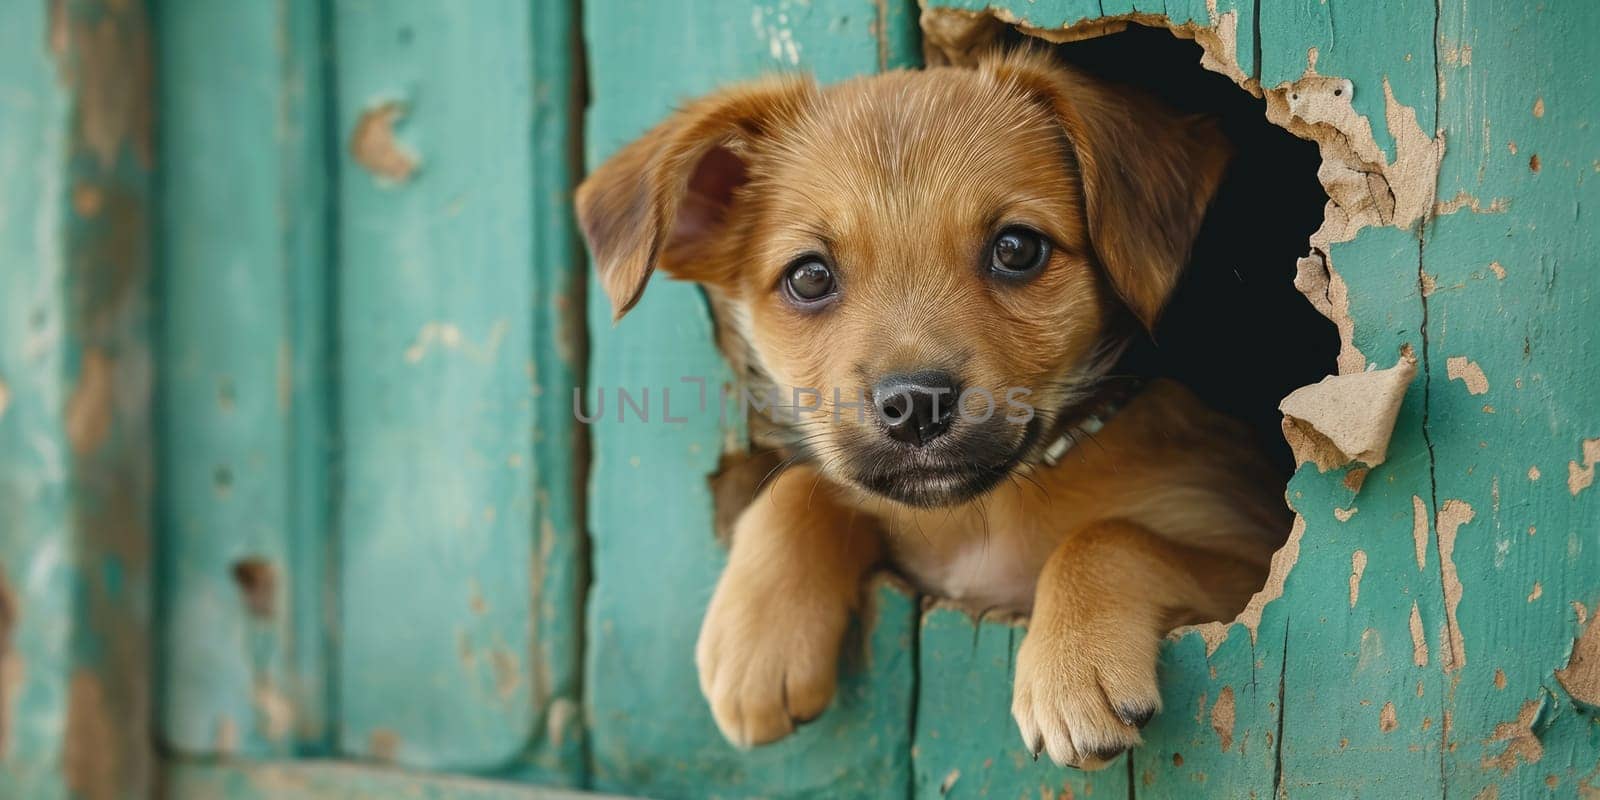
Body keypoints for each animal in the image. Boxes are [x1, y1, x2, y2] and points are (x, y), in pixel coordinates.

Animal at [576, 50, 1286, 768]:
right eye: (809, 276)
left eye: (1017, 248)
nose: (915, 404)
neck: (981, 519)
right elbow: (806, 485)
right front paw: (758, 637)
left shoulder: (1249, 562)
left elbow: (1110, 535)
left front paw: (1072, 667)